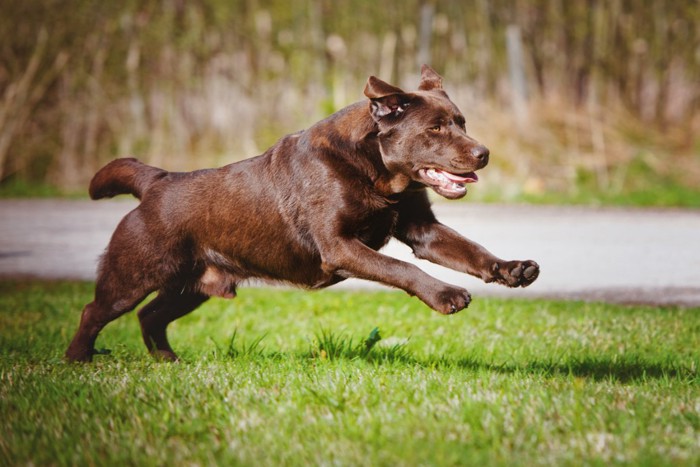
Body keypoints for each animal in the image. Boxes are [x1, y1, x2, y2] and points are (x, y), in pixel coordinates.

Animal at [64, 66, 536, 364]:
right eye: (435, 128)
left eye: (461, 121)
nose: (484, 153)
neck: (374, 170)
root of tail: (157, 181)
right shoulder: (340, 246)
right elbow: (401, 268)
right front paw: (446, 295)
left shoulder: (423, 230)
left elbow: (469, 250)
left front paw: (513, 269)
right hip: (135, 272)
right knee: (95, 311)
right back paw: (78, 360)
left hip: (192, 284)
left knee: (150, 316)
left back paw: (167, 360)